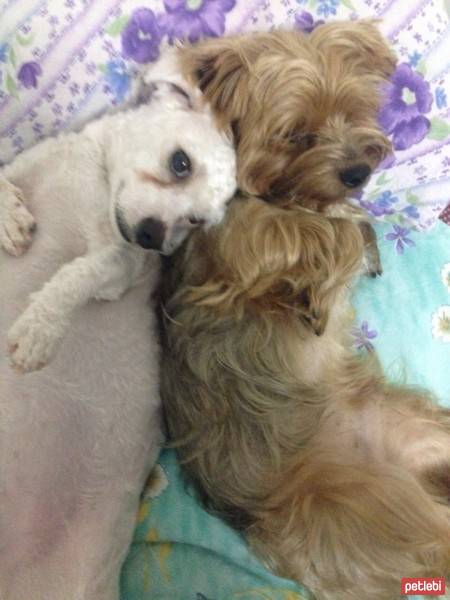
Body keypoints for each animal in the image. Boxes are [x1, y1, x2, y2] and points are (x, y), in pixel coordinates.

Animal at [0, 63, 237, 596]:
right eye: (180, 164)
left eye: (195, 221)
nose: (154, 236)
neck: (98, 177)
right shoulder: (28, 166)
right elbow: (1, 177)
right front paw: (8, 218)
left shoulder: (118, 267)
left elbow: (76, 275)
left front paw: (40, 328)